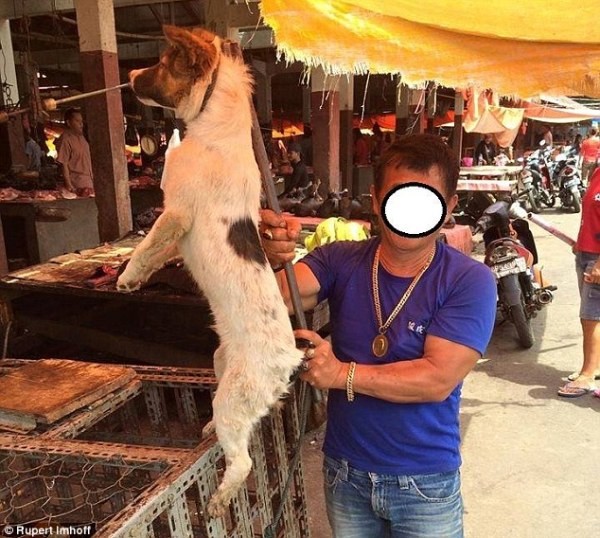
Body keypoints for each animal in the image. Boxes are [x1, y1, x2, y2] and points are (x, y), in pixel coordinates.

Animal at [117, 25, 303, 517]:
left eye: (163, 62)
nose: (129, 75)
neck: (217, 128)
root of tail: (290, 362)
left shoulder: (176, 211)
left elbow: (148, 244)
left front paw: (127, 276)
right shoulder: (176, 219)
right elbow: (159, 249)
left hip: (233, 400)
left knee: (243, 462)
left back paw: (219, 501)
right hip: (221, 367)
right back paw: (205, 434)